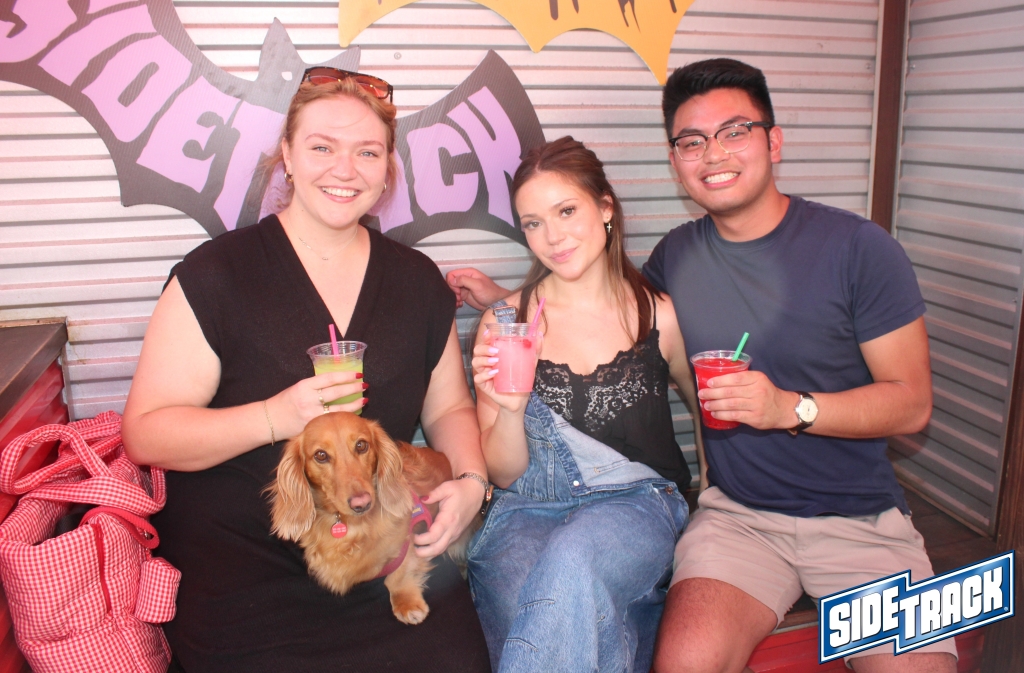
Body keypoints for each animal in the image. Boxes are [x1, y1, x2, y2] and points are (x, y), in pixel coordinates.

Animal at [268, 412, 468, 625]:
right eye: (320, 455)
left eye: (361, 445)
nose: (362, 503)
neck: (353, 527)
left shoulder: (409, 540)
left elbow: (397, 576)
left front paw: (407, 602)